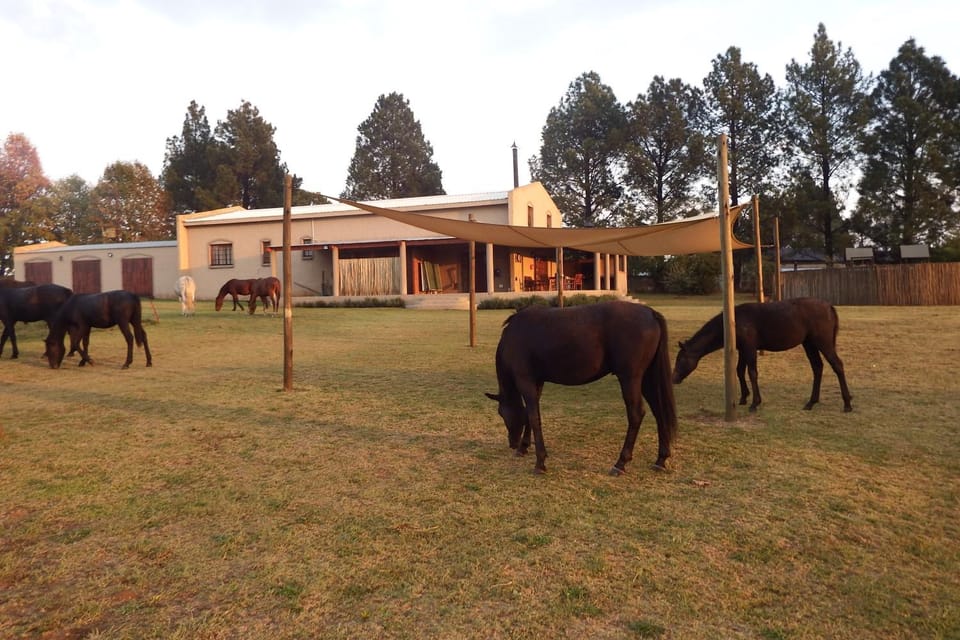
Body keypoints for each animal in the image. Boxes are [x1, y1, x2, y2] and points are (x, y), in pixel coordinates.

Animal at [485, 301, 678, 475]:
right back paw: (660, 460)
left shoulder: (526, 382)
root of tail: (650, 313)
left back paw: (621, 463)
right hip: (647, 379)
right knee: (659, 411)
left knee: (636, 414)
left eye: (501, 413)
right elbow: (530, 415)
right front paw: (524, 448)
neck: (514, 336)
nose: (512, 443)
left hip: (630, 379)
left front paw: (539, 462)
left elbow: (533, 417)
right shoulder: (537, 383)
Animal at [672, 297, 853, 413]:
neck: (733, 322)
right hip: (809, 344)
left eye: (680, 359)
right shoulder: (743, 349)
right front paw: (744, 398)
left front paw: (754, 403)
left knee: (837, 365)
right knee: (817, 367)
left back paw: (847, 403)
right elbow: (740, 371)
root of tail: (829, 306)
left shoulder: (750, 348)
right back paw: (811, 402)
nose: (673, 378)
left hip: (823, 343)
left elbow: (752, 373)